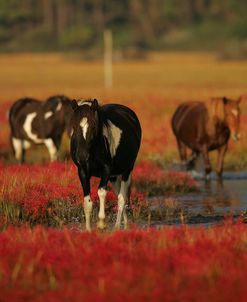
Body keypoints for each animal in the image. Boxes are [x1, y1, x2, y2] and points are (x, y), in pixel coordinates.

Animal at [70, 98, 142, 230]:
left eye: (94, 126)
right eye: (74, 126)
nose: (82, 156)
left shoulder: (106, 170)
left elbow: (102, 192)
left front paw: (102, 222)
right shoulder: (82, 171)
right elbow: (87, 202)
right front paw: (88, 230)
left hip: (127, 170)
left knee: (122, 198)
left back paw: (117, 227)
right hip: (114, 176)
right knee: (120, 195)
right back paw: (125, 225)